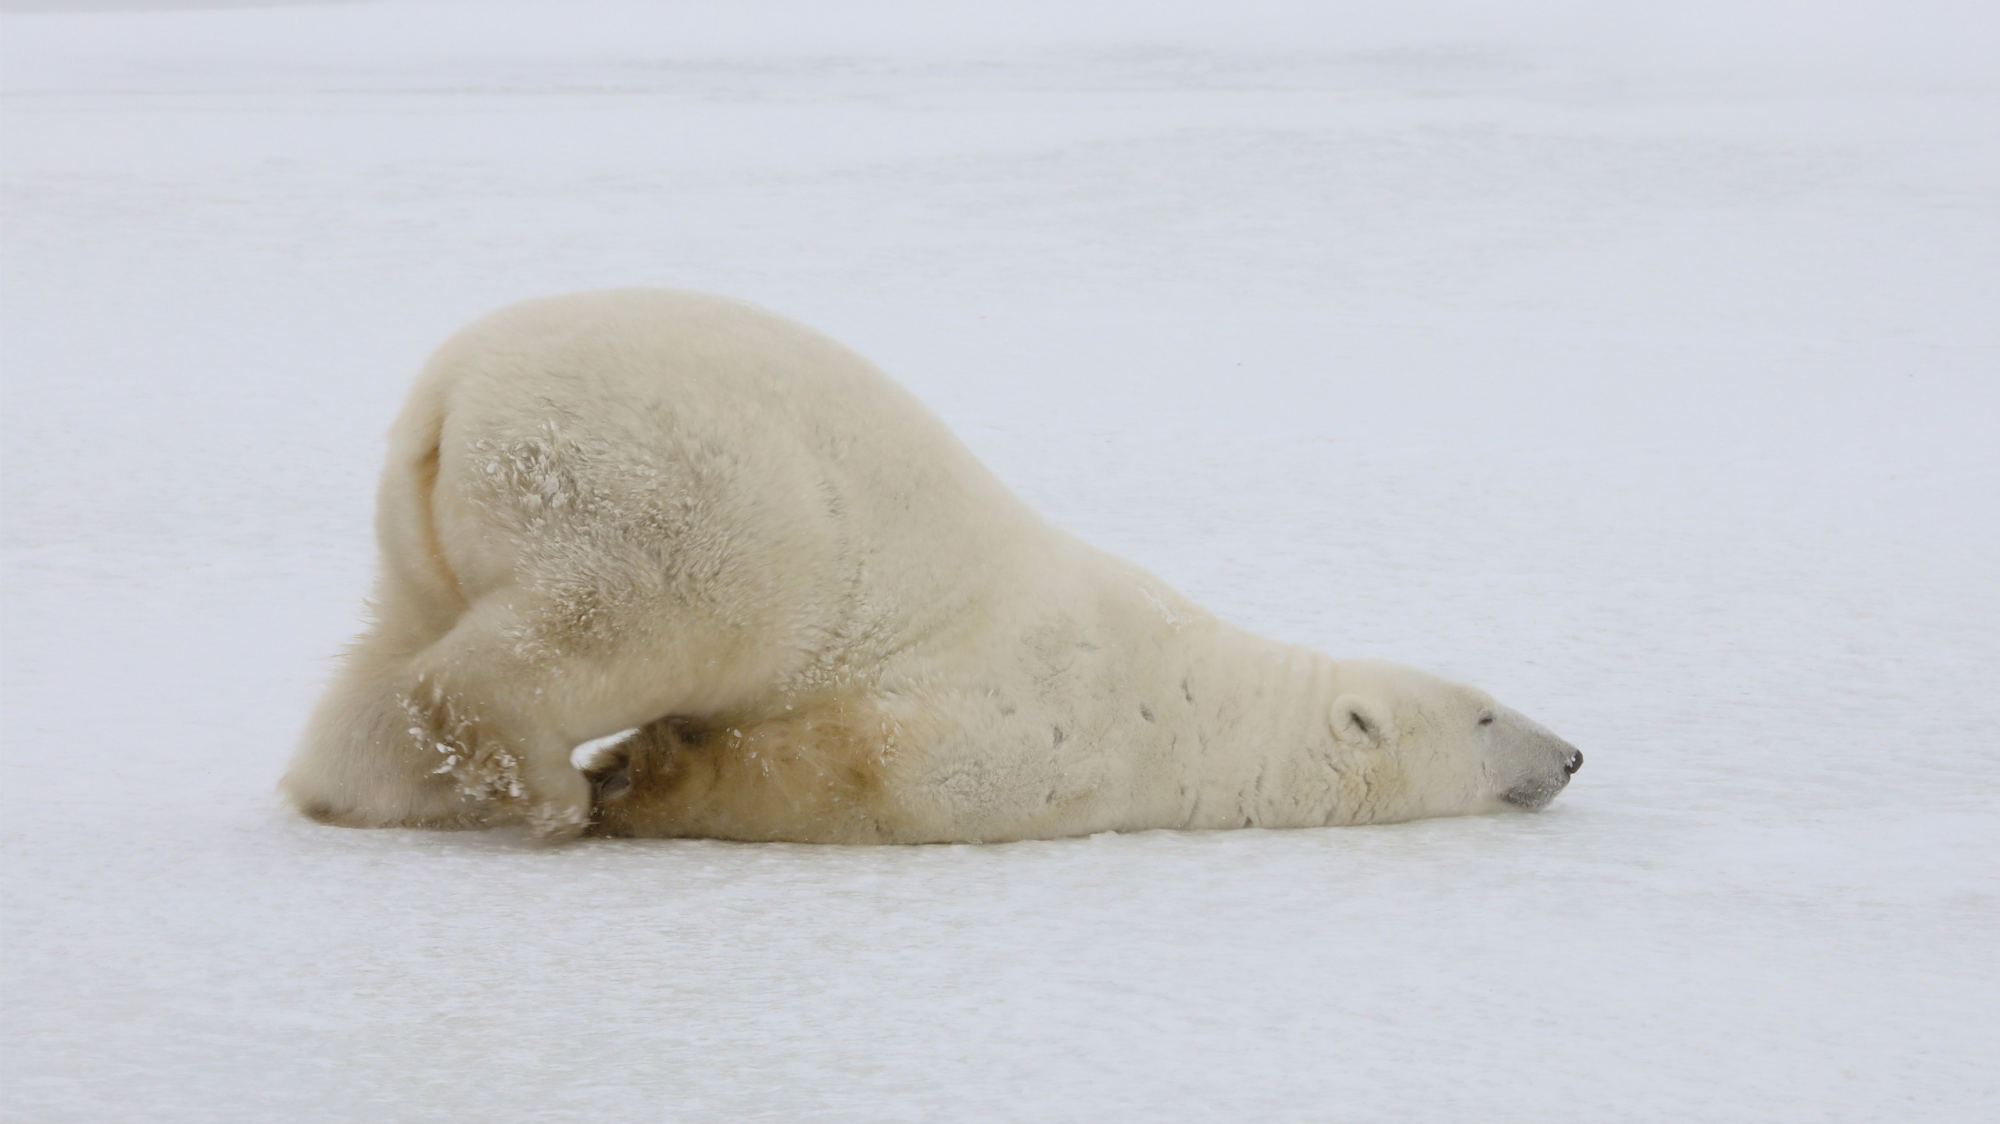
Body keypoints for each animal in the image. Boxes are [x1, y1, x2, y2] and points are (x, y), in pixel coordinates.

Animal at [283, 289, 1581, 842]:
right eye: (1484, 711)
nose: (1570, 752)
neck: (1200, 710)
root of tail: (454, 389)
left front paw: (637, 772)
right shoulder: (1025, 728)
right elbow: (845, 773)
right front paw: (638, 779)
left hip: (424, 525)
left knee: (388, 650)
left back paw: (388, 787)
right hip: (664, 491)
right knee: (624, 622)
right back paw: (546, 789)